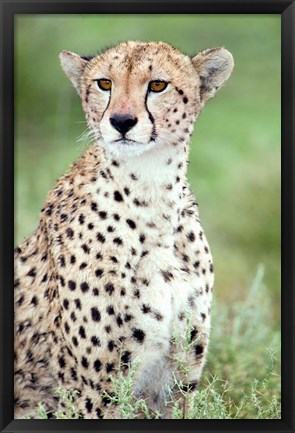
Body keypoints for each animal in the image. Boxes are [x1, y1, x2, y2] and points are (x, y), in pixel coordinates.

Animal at [14, 40, 234, 418]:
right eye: (105, 83)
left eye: (157, 85)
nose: (121, 121)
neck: (151, 195)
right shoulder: (95, 393)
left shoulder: (176, 383)